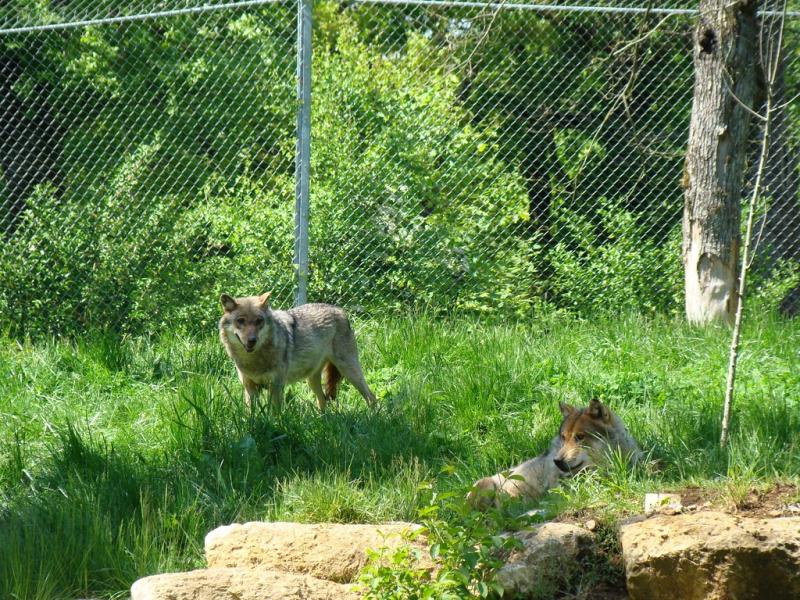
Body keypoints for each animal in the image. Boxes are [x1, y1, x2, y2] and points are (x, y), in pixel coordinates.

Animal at [219, 292, 377, 411]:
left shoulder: (276, 387)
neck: (254, 360)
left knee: (372, 397)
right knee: (323, 401)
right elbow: (250, 414)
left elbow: (274, 413)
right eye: (241, 321)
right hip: (313, 380)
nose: (252, 340)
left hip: (350, 372)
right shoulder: (249, 388)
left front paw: (275, 425)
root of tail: (340, 310)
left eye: (259, 321)